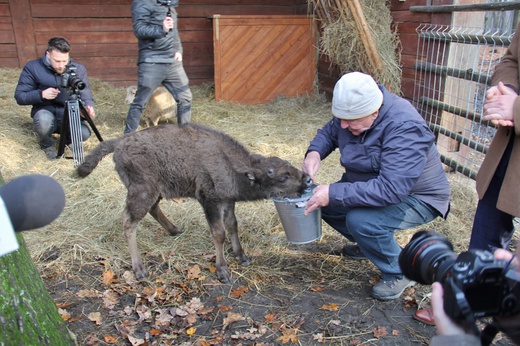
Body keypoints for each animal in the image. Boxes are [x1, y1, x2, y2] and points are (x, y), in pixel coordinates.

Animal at [77, 123, 312, 282]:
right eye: (283, 177)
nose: (306, 180)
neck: (230, 163)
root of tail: (120, 142)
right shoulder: (210, 201)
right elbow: (219, 234)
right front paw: (223, 270)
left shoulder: (228, 201)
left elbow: (232, 226)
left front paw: (242, 256)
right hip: (142, 191)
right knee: (129, 221)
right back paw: (140, 269)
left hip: (156, 190)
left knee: (152, 209)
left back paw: (174, 230)